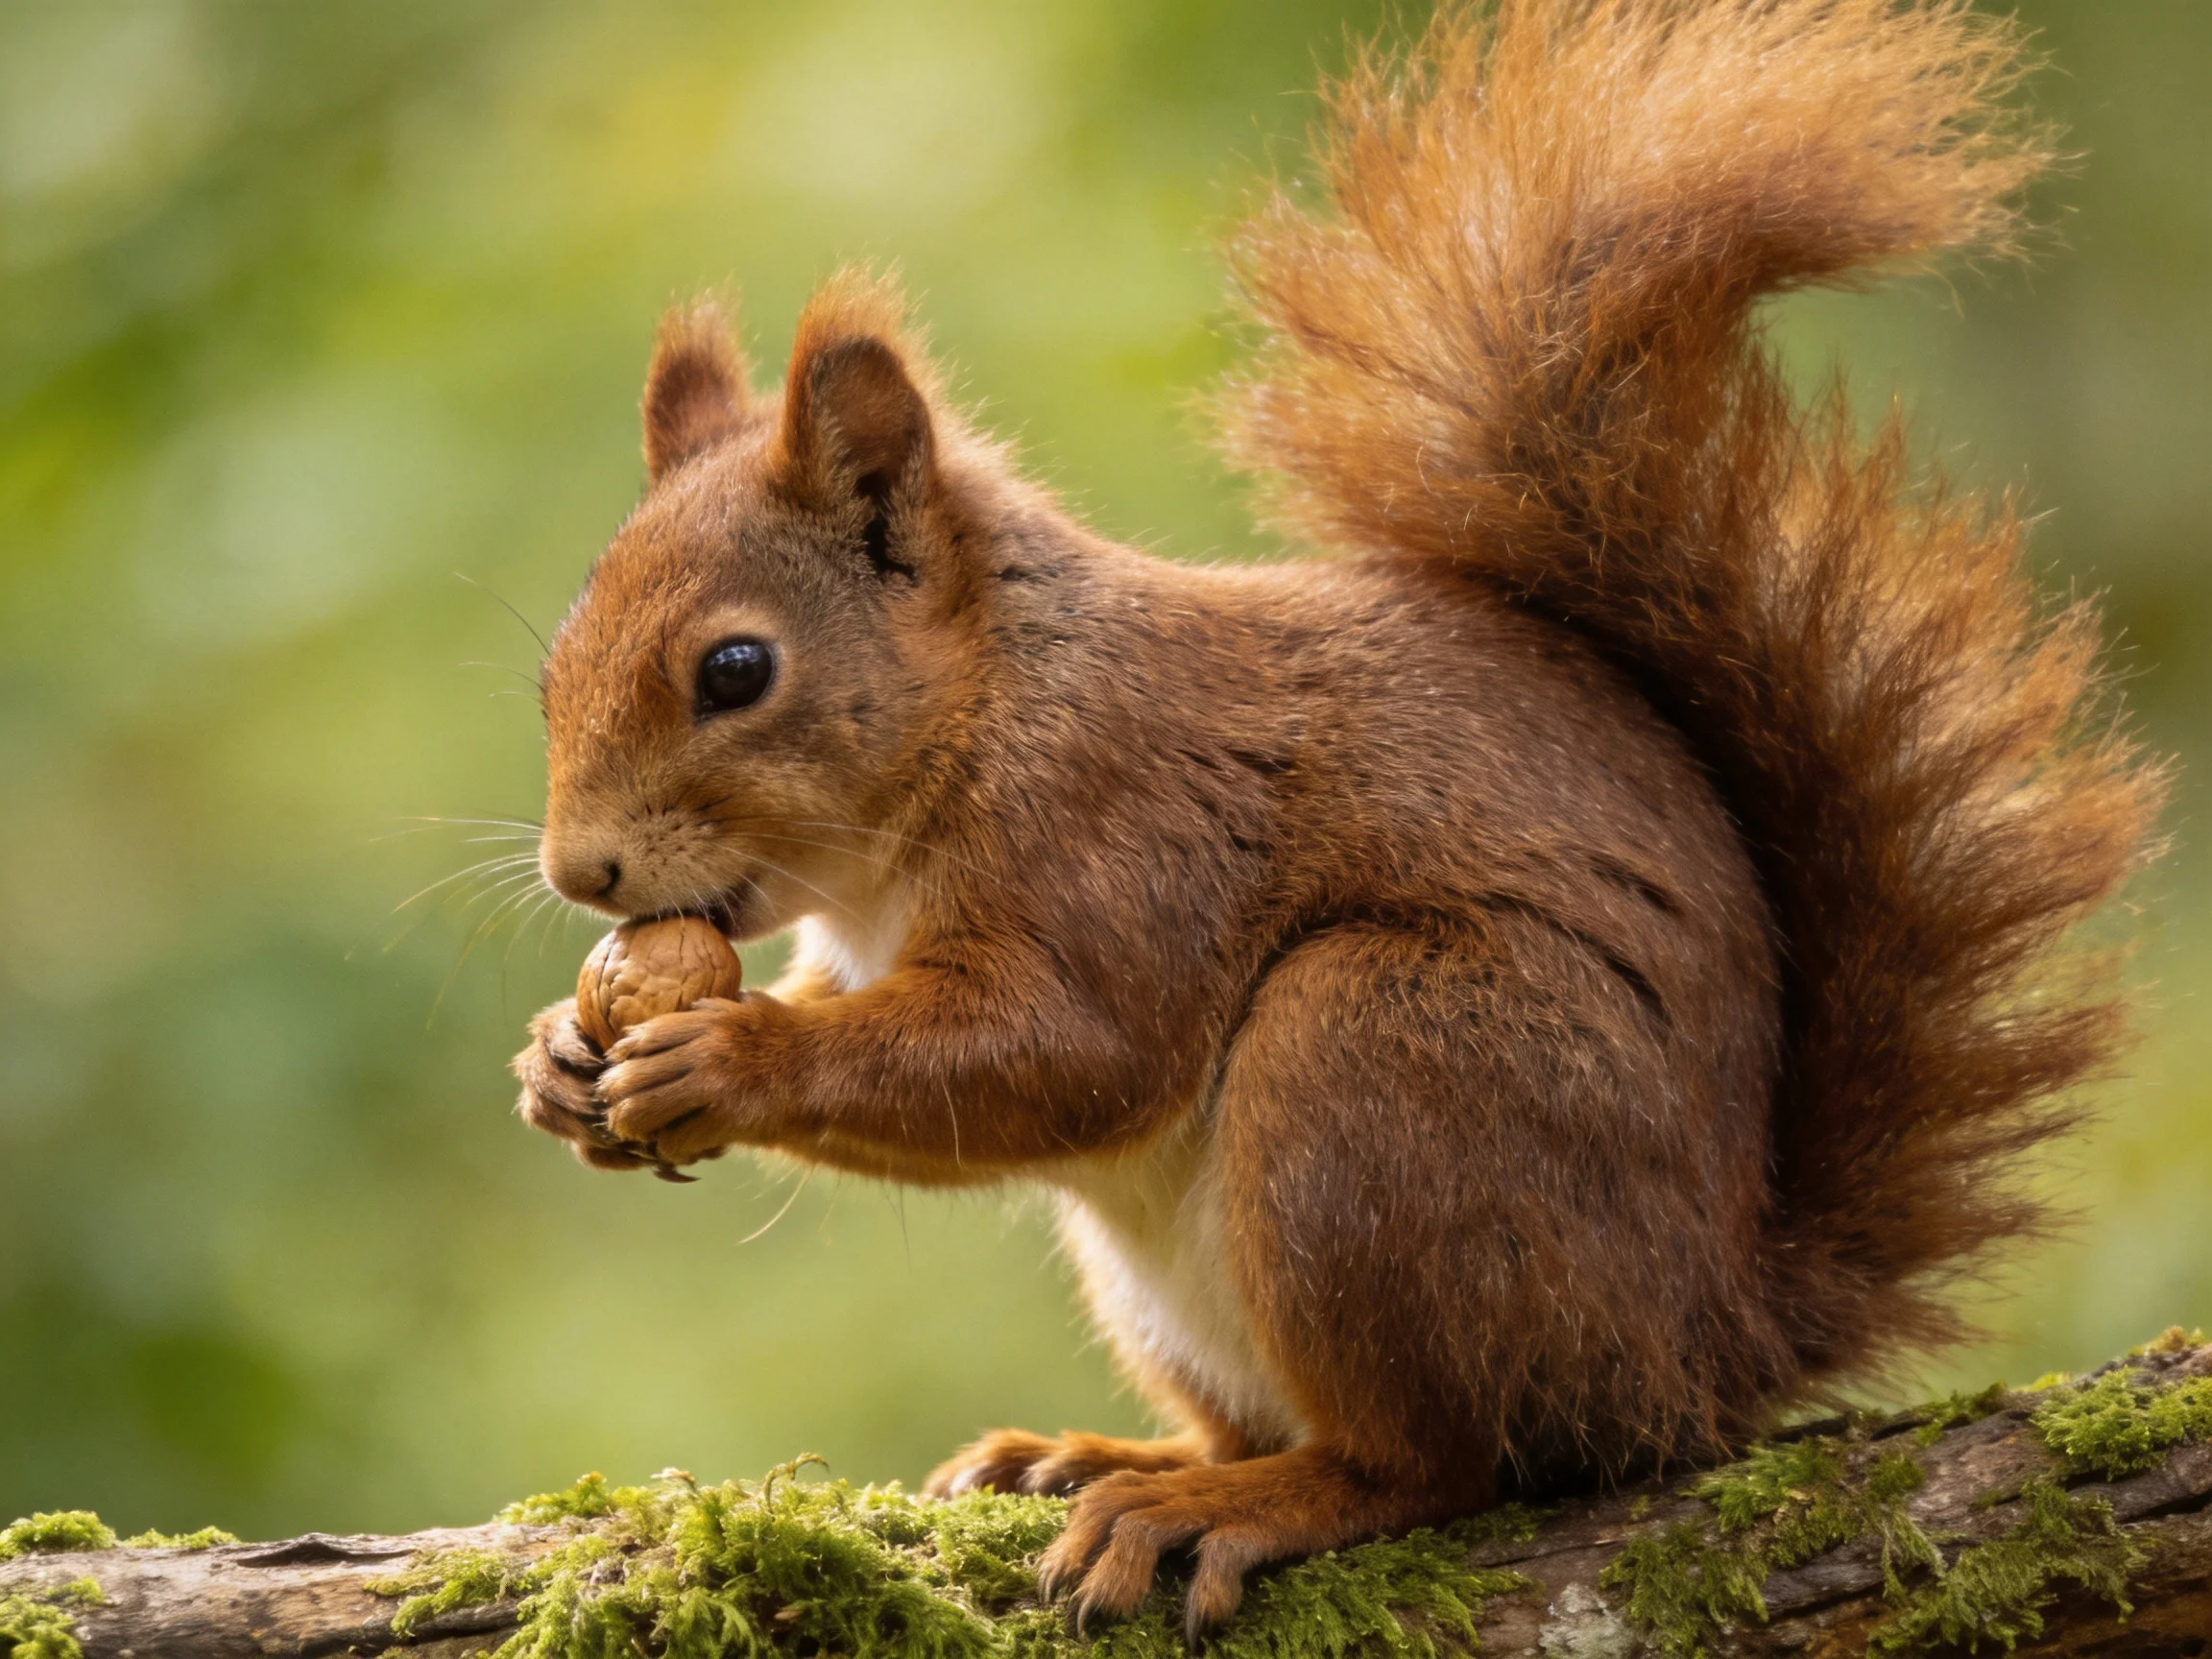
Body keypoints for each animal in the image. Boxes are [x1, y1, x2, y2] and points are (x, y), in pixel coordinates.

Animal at [510, 0, 2164, 1636]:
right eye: (552, 661)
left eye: (736, 670)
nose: (580, 871)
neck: (979, 723)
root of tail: (1707, 1348)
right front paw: (560, 1062)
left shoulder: (1125, 827)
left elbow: (1066, 1050)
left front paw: (730, 1058)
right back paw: (1103, 1456)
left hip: (1384, 1071)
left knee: (1437, 1462)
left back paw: (1231, 1503)